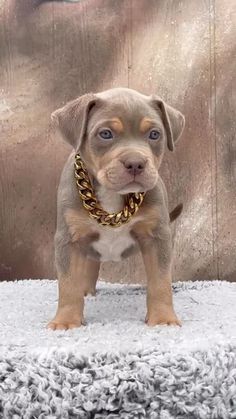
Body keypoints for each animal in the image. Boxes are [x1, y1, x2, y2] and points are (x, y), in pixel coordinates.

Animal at [47, 88, 184, 332]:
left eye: (155, 134)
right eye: (106, 134)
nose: (136, 163)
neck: (113, 195)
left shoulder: (157, 237)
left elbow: (160, 280)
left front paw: (162, 319)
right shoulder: (68, 239)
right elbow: (68, 282)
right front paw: (66, 321)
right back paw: (86, 291)